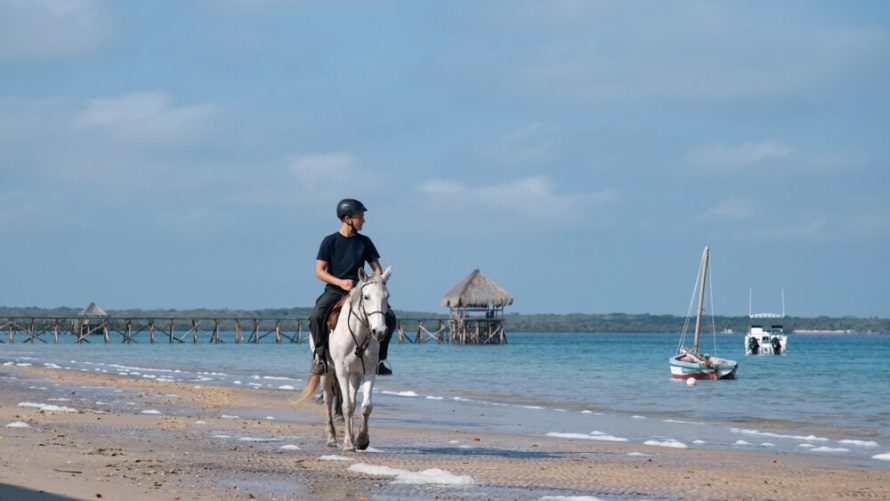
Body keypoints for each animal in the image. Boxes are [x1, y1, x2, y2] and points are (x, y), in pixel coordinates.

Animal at [296, 268, 390, 452]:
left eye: (387, 296)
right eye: (366, 297)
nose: (380, 332)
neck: (358, 333)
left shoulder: (368, 372)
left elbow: (365, 406)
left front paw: (361, 440)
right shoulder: (341, 371)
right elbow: (346, 406)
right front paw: (347, 443)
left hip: (355, 375)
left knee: (352, 400)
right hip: (328, 371)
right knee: (328, 399)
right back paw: (332, 438)